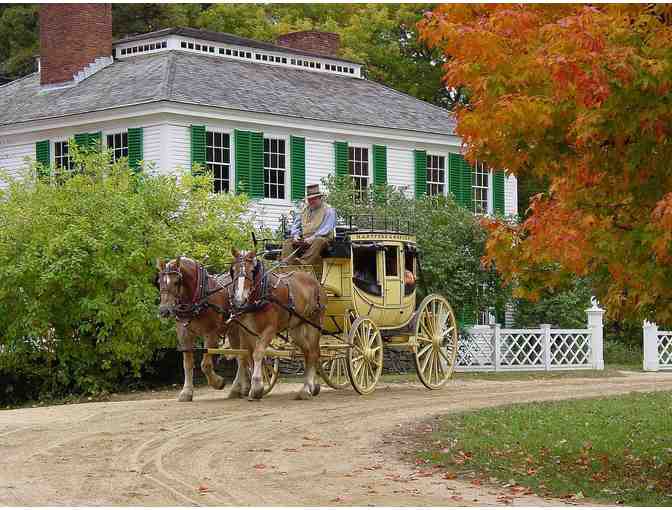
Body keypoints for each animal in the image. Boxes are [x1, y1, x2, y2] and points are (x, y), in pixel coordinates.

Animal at [156, 256, 253, 400]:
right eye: (159, 281)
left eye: (177, 282)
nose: (164, 311)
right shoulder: (184, 334)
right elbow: (187, 363)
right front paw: (186, 392)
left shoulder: (211, 333)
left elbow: (205, 365)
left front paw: (218, 382)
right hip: (233, 331)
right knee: (241, 356)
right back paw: (243, 387)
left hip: (241, 330)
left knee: (242, 357)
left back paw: (237, 388)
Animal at [230, 249, 326, 400]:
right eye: (233, 270)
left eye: (252, 270)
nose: (239, 299)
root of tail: (315, 282)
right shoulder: (247, 331)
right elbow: (249, 355)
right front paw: (252, 388)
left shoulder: (269, 329)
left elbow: (258, 353)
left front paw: (257, 387)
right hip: (296, 329)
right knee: (308, 352)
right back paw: (311, 386)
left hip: (314, 323)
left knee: (314, 353)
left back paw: (307, 388)